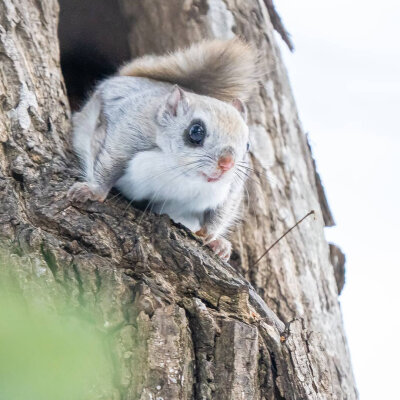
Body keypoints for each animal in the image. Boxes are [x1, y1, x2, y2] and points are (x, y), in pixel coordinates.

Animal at [69, 37, 260, 260]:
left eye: (247, 144)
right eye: (196, 131)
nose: (227, 164)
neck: (181, 173)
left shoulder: (231, 189)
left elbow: (220, 213)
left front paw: (214, 240)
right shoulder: (126, 135)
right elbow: (108, 163)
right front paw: (92, 191)